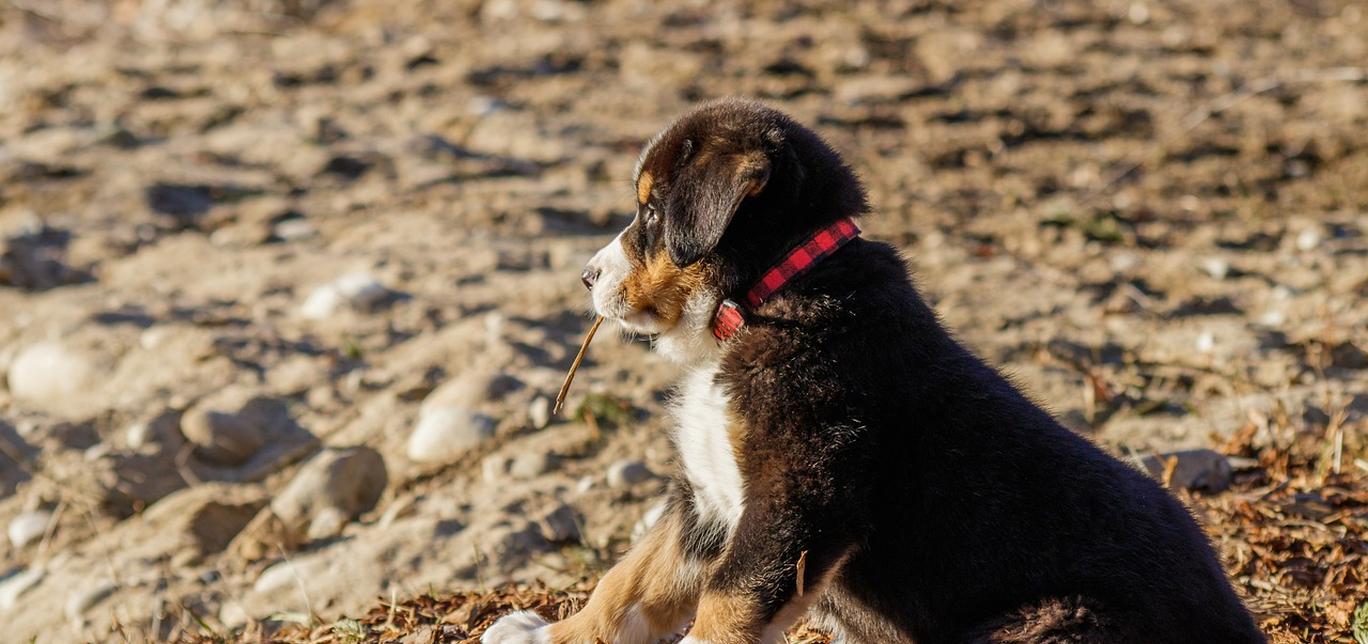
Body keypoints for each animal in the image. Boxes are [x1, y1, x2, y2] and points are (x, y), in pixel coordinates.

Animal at [481, 98, 1258, 642]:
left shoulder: (799, 496)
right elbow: (629, 582)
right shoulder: (704, 499)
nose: (586, 276)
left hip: (1055, 620)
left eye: (650, 211)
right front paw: (547, 633)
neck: (770, 299)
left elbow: (723, 603)